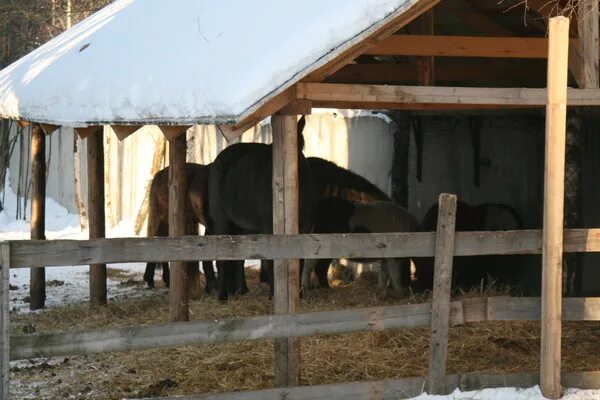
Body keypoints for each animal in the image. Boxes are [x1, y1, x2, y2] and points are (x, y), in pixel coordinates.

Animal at [207, 115, 316, 300]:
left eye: (301, 143)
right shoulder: (269, 228)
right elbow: (271, 260)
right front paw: (274, 294)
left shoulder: (304, 227)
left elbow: (299, 258)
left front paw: (299, 295)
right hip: (222, 221)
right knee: (221, 258)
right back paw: (222, 296)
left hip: (242, 227)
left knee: (239, 258)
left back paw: (241, 290)